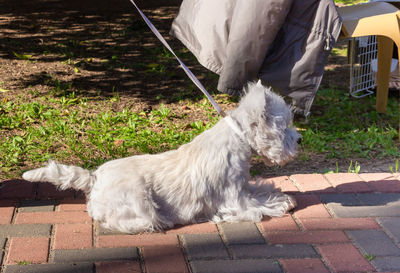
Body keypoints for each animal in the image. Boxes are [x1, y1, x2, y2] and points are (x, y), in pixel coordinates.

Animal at [22, 82, 300, 232]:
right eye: (284, 125)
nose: (299, 140)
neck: (239, 140)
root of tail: (94, 177)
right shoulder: (235, 198)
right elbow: (257, 206)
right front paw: (279, 204)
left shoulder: (244, 186)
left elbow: (264, 189)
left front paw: (283, 196)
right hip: (137, 199)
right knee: (122, 222)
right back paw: (163, 222)